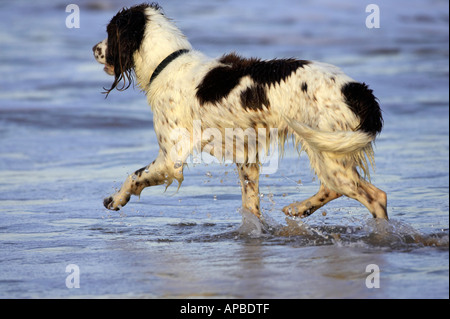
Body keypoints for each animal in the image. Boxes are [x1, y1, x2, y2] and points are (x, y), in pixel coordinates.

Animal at [91, 3, 386, 222]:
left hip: (329, 149)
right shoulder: (246, 156)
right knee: (333, 187)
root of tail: (356, 89)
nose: (94, 49)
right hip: (327, 148)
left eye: (109, 32)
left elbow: (133, 176)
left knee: (375, 196)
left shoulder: (170, 158)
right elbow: (250, 204)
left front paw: (116, 199)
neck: (167, 63)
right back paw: (300, 209)